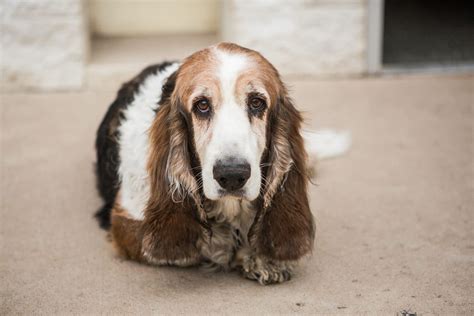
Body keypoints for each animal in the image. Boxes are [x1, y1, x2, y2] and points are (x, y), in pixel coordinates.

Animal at [94, 42, 316, 284]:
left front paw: (264, 259)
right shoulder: (124, 220)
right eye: (202, 105)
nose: (232, 175)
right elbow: (204, 246)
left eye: (257, 102)